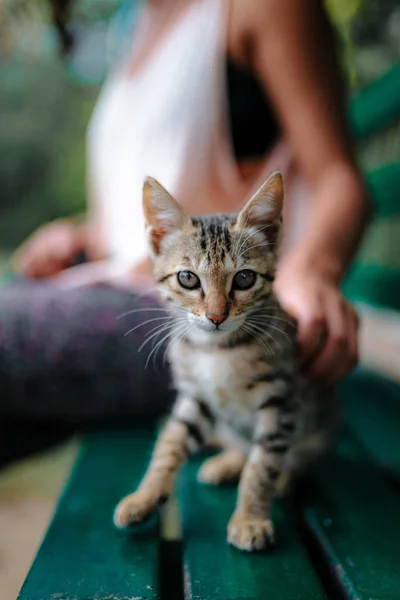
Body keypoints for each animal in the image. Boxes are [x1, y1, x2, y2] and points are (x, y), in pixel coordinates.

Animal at [113, 171, 338, 552]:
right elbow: (170, 444)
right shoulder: (196, 397)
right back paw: (227, 462)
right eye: (188, 278)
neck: (215, 349)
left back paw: (283, 477)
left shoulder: (281, 401)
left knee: (294, 458)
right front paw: (144, 496)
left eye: (244, 277)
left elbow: (262, 466)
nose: (216, 316)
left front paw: (250, 518)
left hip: (316, 426)